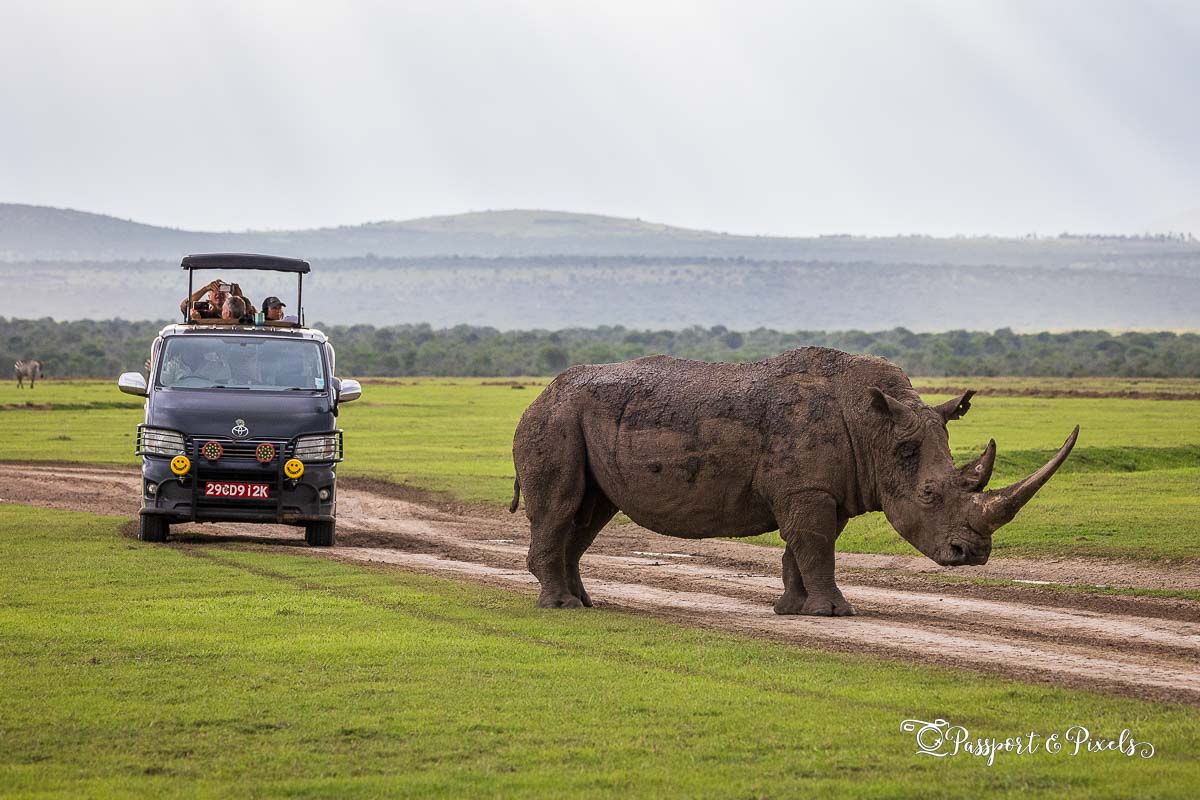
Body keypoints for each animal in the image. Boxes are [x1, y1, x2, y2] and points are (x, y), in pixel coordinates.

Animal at [509, 347, 1078, 615]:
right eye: (929, 493)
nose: (973, 554)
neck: (877, 429)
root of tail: (540, 393)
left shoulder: (824, 488)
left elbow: (803, 547)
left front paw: (792, 609)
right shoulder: (807, 489)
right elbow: (815, 544)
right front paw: (835, 614)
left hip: (578, 419)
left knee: (590, 513)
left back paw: (584, 603)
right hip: (555, 420)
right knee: (562, 507)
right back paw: (562, 607)